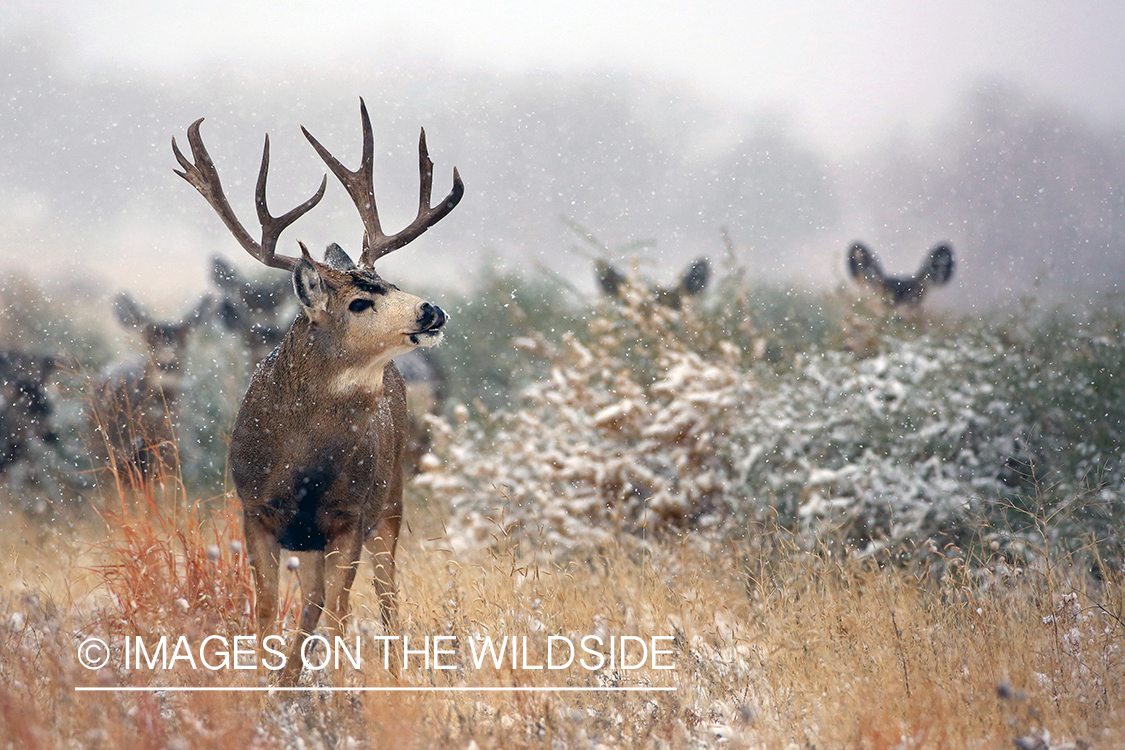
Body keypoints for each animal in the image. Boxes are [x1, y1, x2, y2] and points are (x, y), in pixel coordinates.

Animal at [172, 95, 461, 688]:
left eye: (390, 284)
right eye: (359, 302)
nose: (432, 310)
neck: (301, 464)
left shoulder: (348, 516)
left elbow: (340, 609)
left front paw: (337, 684)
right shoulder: (254, 511)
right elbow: (266, 608)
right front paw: (264, 684)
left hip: (390, 498)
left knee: (382, 594)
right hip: (311, 537)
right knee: (315, 598)